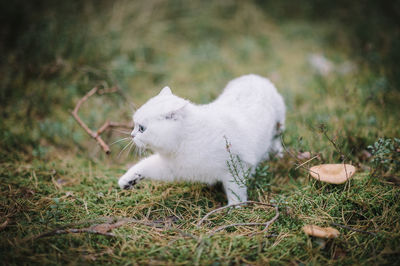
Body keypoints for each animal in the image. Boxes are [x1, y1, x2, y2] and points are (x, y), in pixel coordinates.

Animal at [117, 74, 286, 206]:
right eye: (134, 125)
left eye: (141, 128)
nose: (132, 135)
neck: (185, 142)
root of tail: (254, 77)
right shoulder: (172, 167)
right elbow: (145, 166)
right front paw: (128, 181)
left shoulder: (235, 168)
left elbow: (236, 192)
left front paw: (234, 211)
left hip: (279, 124)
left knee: (277, 141)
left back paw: (277, 156)